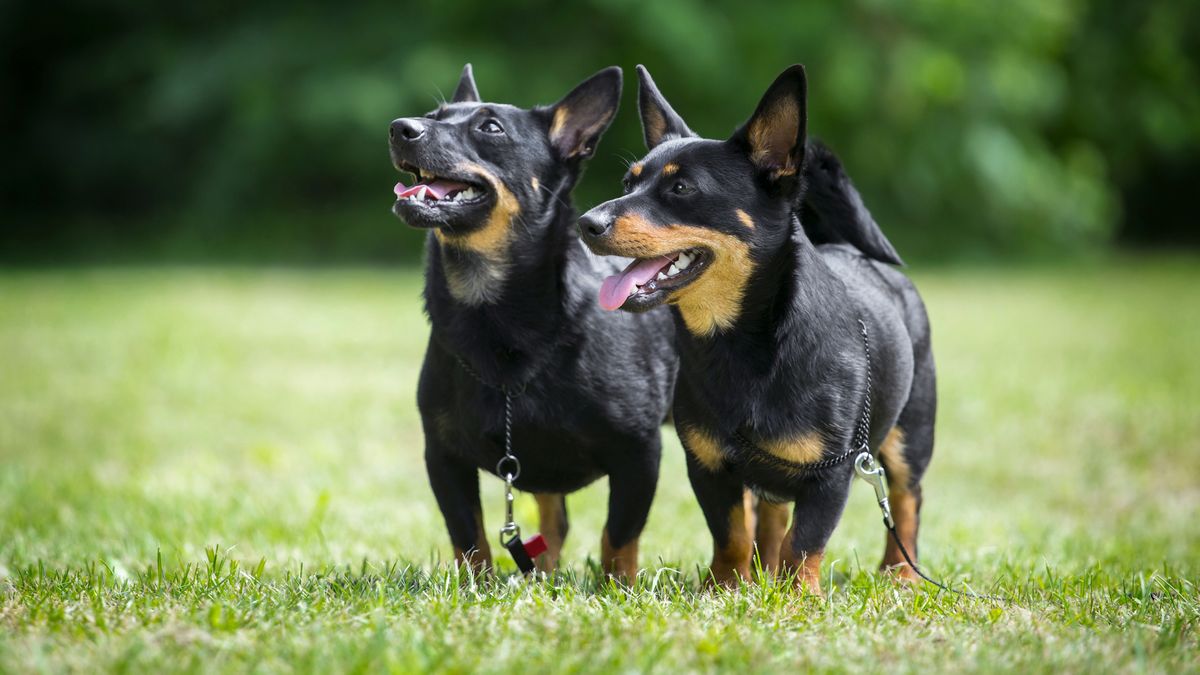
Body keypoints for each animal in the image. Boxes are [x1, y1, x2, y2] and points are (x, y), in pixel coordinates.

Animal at [388, 65, 681, 576]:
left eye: (490, 128)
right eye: (433, 115)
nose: (401, 128)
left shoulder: (639, 453)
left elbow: (618, 540)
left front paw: (617, 587)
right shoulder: (443, 457)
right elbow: (470, 540)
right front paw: (478, 587)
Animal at [576, 64, 931, 588]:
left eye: (681, 189)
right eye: (627, 182)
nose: (587, 222)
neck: (739, 346)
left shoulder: (832, 475)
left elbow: (804, 546)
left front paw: (797, 597)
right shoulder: (709, 467)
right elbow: (731, 535)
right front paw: (724, 588)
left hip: (910, 435)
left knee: (906, 500)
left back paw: (900, 573)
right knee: (771, 517)